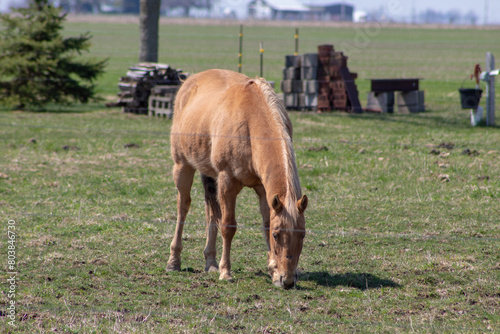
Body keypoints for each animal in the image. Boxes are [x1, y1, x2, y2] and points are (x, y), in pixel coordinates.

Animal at [168, 69, 306, 288]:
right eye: (277, 235)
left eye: (302, 235)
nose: (288, 281)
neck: (252, 122)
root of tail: (189, 81)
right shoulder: (227, 182)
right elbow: (228, 226)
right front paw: (226, 272)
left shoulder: (263, 189)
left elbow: (264, 222)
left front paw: (273, 271)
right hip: (183, 166)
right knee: (183, 208)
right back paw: (174, 261)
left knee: (210, 213)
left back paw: (210, 262)